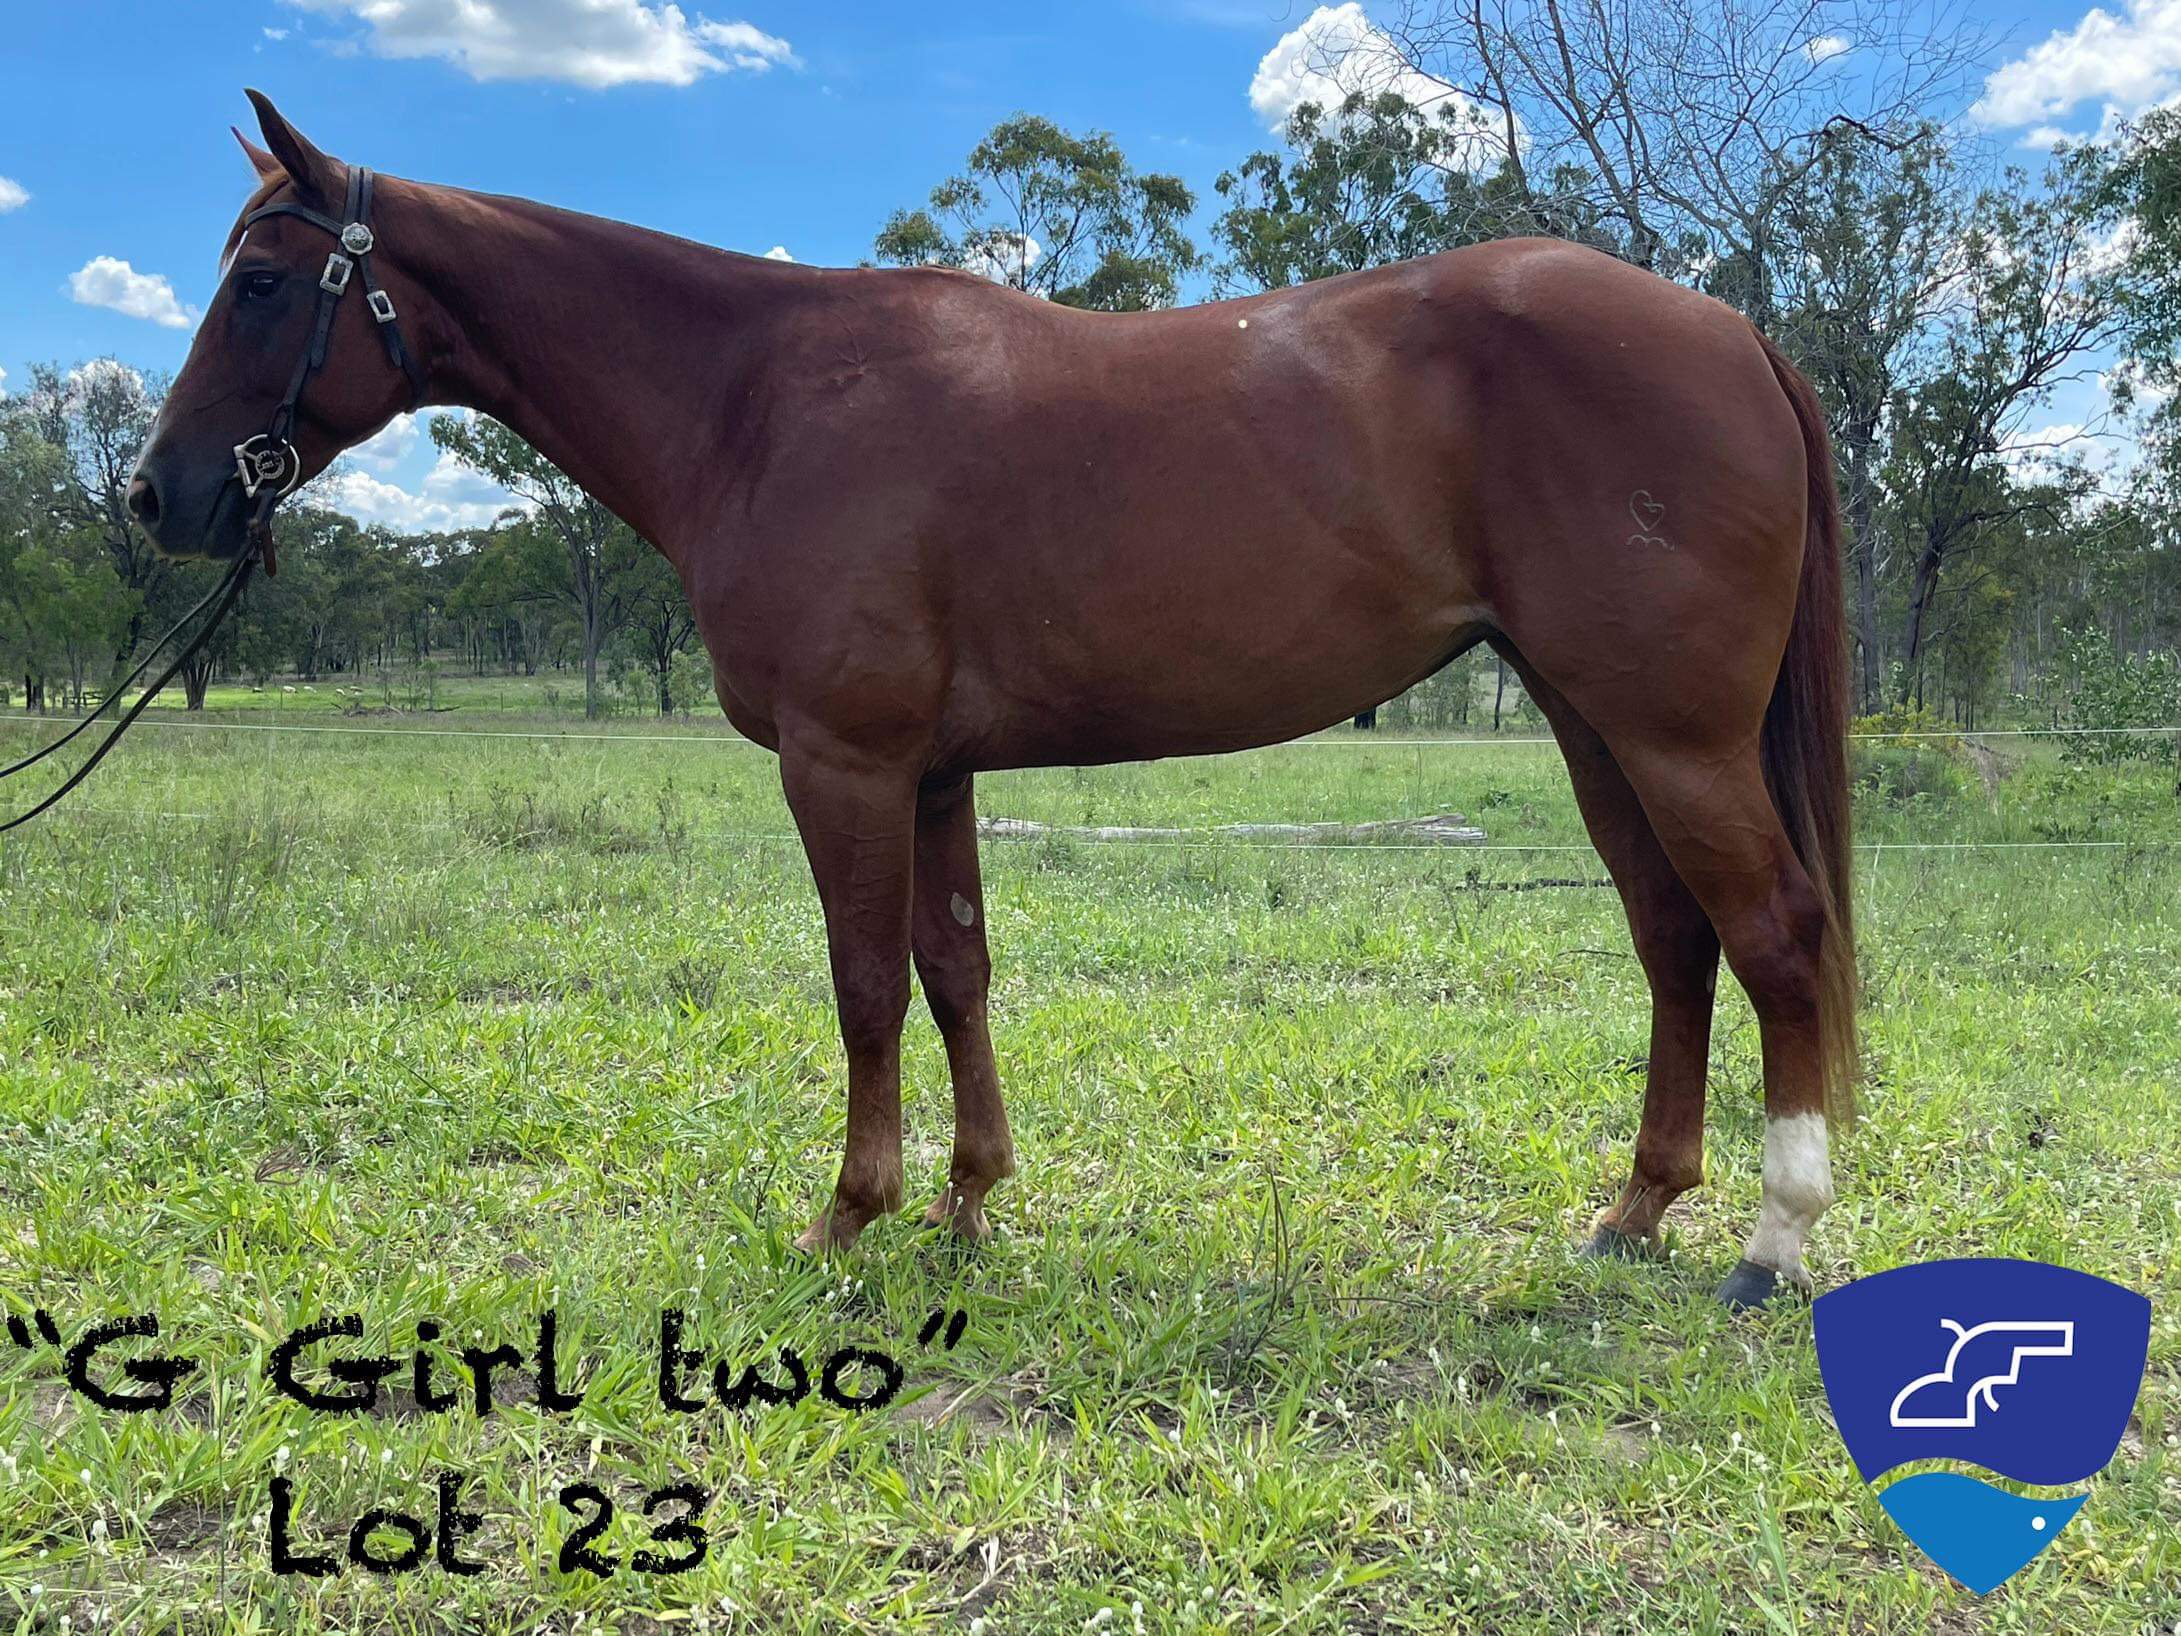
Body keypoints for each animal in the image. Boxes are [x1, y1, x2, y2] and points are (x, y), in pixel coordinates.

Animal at [129, 94, 1858, 1308]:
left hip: (1672, 735)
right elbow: (956, 972)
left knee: (1772, 936)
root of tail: (1731, 330)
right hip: (1590, 724)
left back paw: (1770, 1243)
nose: (157, 498)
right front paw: (967, 1200)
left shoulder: (841, 764)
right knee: (1676, 939)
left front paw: (849, 1216)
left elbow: (864, 988)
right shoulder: (935, 772)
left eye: (265, 282)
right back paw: (1635, 1210)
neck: (759, 398)